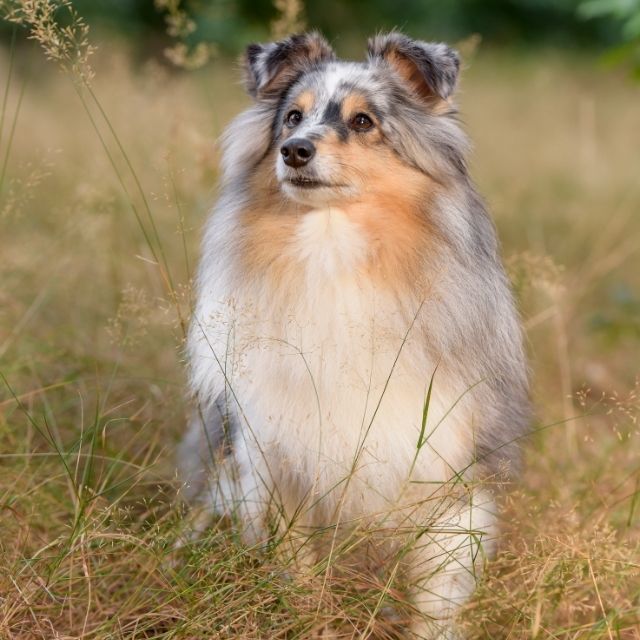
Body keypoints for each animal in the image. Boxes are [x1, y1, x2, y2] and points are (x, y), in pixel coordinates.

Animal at [178, 32, 528, 636]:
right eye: (292, 117)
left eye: (363, 121)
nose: (294, 150)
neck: (333, 255)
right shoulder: (279, 459)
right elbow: (296, 570)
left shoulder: (450, 468)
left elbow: (438, 596)